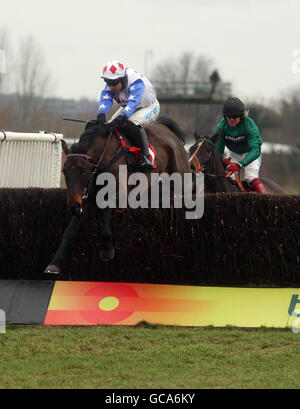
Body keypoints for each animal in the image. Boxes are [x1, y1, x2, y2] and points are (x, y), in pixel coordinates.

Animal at [43, 116, 191, 272]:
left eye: (83, 170)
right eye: (64, 171)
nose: (73, 207)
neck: (103, 157)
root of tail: (167, 130)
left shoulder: (118, 193)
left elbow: (106, 212)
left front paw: (107, 250)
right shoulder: (87, 198)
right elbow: (69, 230)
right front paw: (55, 262)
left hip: (182, 181)